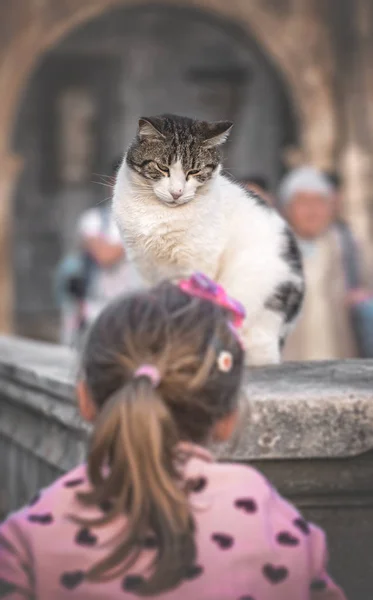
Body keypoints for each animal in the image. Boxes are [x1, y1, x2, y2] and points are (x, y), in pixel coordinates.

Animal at [112, 113, 302, 366]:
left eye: (194, 171)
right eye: (162, 167)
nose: (177, 192)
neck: (159, 213)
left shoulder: (196, 264)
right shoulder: (143, 264)